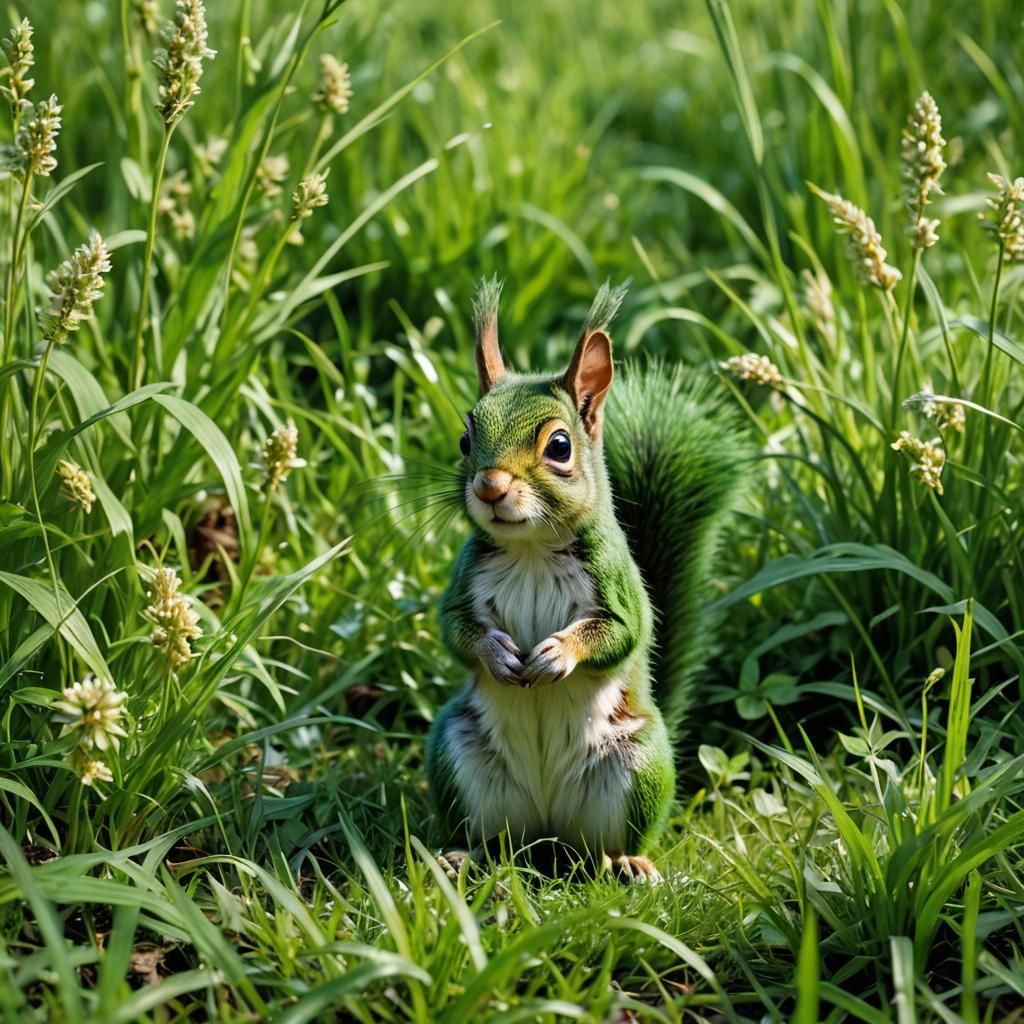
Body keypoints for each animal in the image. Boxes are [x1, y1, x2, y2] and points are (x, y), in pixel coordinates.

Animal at [425, 278, 749, 883]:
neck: (530, 550)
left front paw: (558, 654)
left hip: (637, 766)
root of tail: (548, 831)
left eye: (559, 446)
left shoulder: (618, 585)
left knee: (605, 844)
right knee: (492, 838)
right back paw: (465, 855)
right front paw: (497, 654)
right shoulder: (464, 582)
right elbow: (456, 632)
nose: (489, 486)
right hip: (458, 755)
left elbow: (622, 633)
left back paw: (626, 862)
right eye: (464, 440)